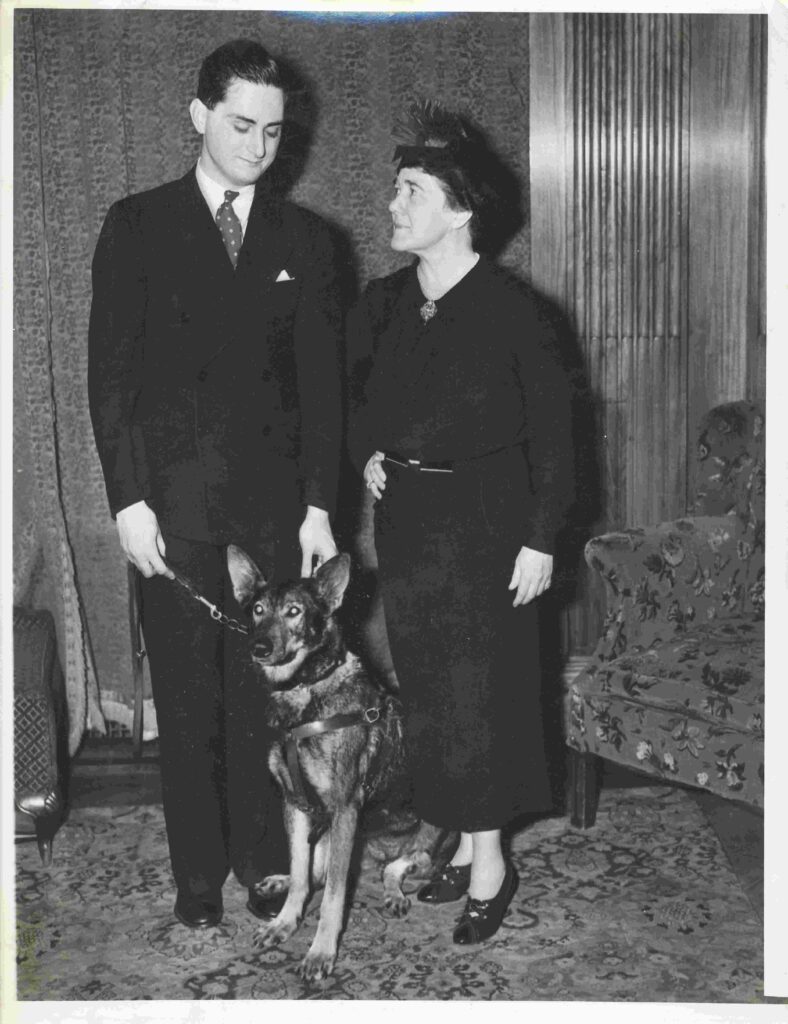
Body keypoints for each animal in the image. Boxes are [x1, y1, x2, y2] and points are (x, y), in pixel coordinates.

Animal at [224, 548, 450, 978]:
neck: (305, 691)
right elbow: (302, 875)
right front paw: (284, 923)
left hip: (433, 831)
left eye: (294, 611)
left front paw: (321, 952)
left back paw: (395, 894)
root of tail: (377, 849)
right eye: (258, 610)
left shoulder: (345, 810)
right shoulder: (296, 804)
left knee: (401, 865)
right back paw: (277, 882)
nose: (258, 648)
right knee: (314, 871)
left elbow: (332, 897)